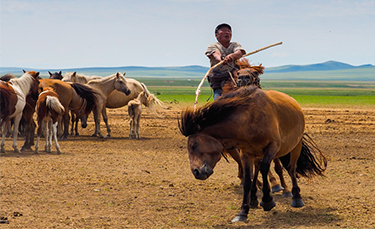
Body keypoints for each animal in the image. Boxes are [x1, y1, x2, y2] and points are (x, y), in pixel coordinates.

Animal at [178, 85, 328, 222]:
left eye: (194, 144)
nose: (196, 172)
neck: (248, 119)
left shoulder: (272, 147)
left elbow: (265, 168)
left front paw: (267, 200)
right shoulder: (246, 154)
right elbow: (248, 179)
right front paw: (243, 211)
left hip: (296, 145)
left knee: (291, 168)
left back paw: (296, 197)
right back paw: (256, 198)